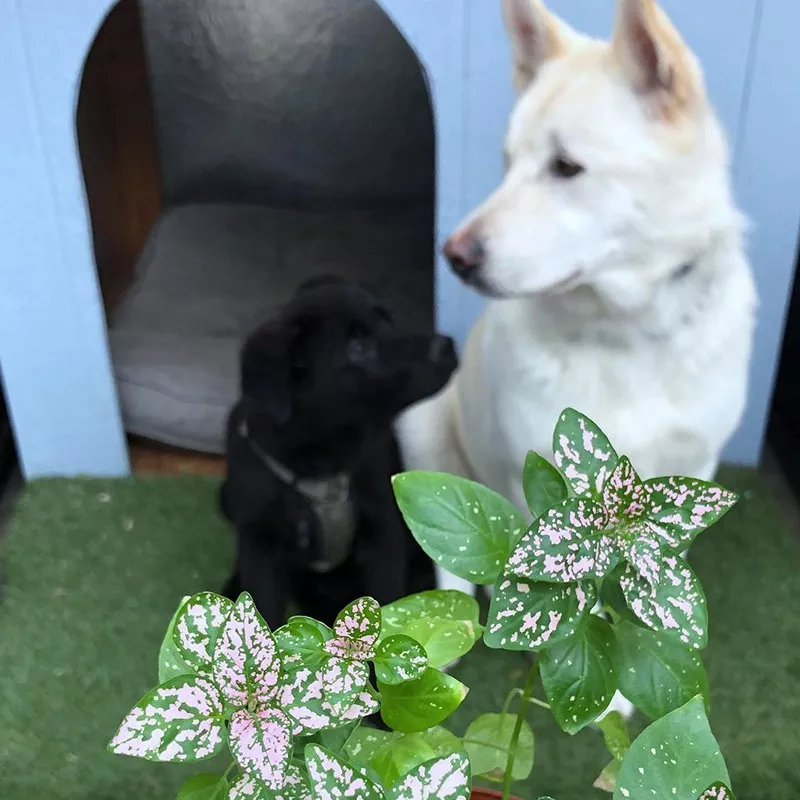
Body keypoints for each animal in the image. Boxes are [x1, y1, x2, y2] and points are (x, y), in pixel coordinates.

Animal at [220, 278, 456, 628]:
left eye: (389, 321)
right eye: (357, 348)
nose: (447, 345)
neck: (320, 462)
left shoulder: (383, 538)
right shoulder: (261, 547)